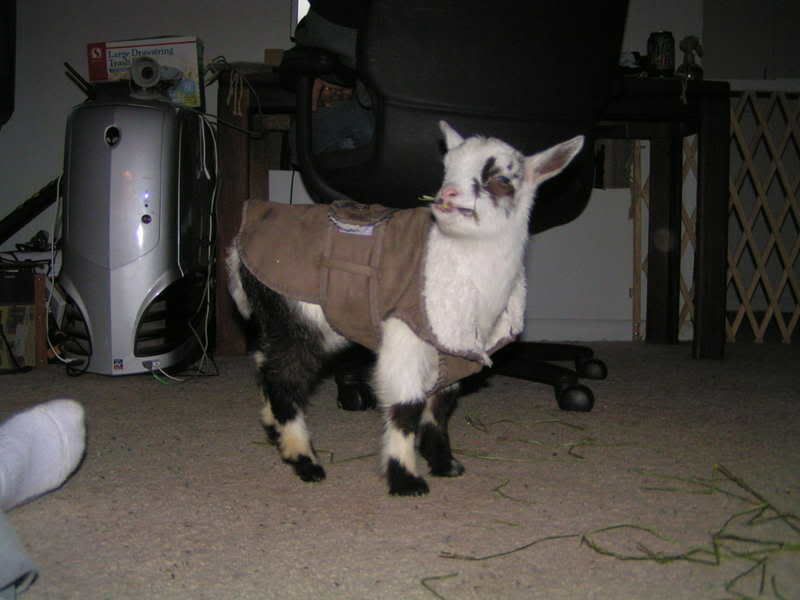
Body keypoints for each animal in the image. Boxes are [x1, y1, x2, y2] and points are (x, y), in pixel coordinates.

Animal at [227, 121, 583, 495]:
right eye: (447, 168)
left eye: (501, 179)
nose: (446, 195)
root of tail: (236, 248)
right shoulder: (405, 334)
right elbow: (406, 406)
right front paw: (406, 479)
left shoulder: (450, 346)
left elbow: (440, 405)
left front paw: (445, 463)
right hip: (297, 314)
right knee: (283, 379)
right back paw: (305, 460)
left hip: (282, 319)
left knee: (264, 363)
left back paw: (274, 431)